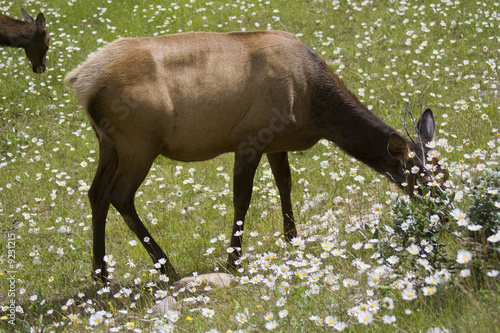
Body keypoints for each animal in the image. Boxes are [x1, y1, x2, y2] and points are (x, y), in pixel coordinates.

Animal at [64, 30, 448, 280]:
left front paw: (293, 239)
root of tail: (82, 81)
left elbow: (285, 185)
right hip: (138, 143)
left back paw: (101, 274)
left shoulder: (277, 142)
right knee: (120, 196)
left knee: (96, 194)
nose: (445, 214)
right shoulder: (250, 137)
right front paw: (233, 260)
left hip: (108, 144)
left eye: (445, 173)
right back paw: (166, 267)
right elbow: (242, 199)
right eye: (422, 179)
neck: (316, 109)